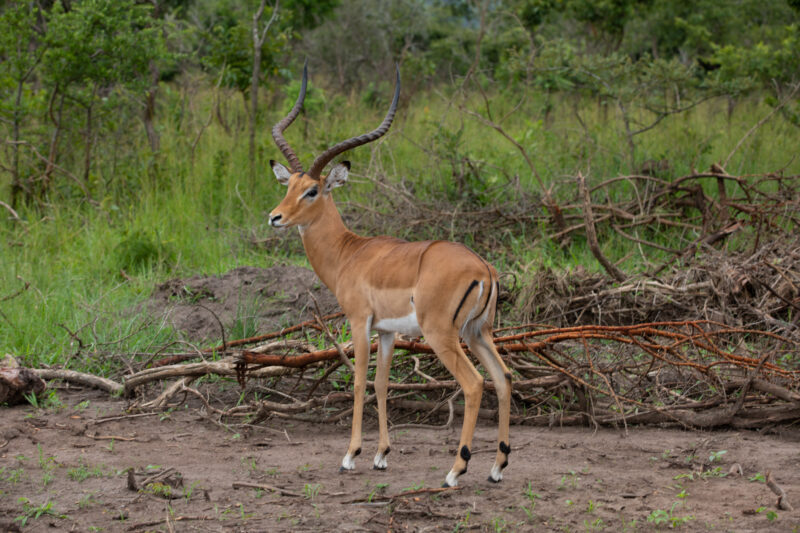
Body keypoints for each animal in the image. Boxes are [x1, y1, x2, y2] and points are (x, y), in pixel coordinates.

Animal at [268, 63, 512, 487]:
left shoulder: (358, 322)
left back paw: (455, 470)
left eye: (313, 190)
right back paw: (497, 468)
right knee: (503, 378)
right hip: (478, 332)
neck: (349, 253)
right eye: (290, 185)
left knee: (474, 383)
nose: (275, 217)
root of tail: (483, 268)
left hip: (443, 335)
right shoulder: (387, 331)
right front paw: (381, 455)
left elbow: (358, 380)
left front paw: (350, 455)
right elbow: (382, 383)